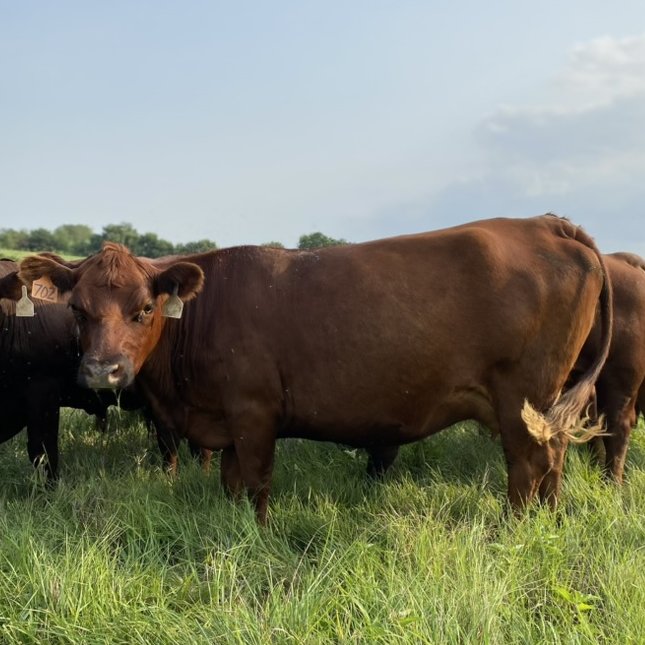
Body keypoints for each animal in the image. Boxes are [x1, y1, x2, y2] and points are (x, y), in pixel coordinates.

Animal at [18, 214, 612, 523]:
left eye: (144, 309)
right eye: (77, 310)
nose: (103, 371)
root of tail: (547, 224)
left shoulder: (255, 413)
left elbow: (256, 482)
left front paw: (256, 534)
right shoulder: (228, 422)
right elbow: (231, 483)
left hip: (521, 400)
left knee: (528, 466)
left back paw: (513, 527)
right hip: (545, 402)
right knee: (554, 459)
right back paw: (550, 519)